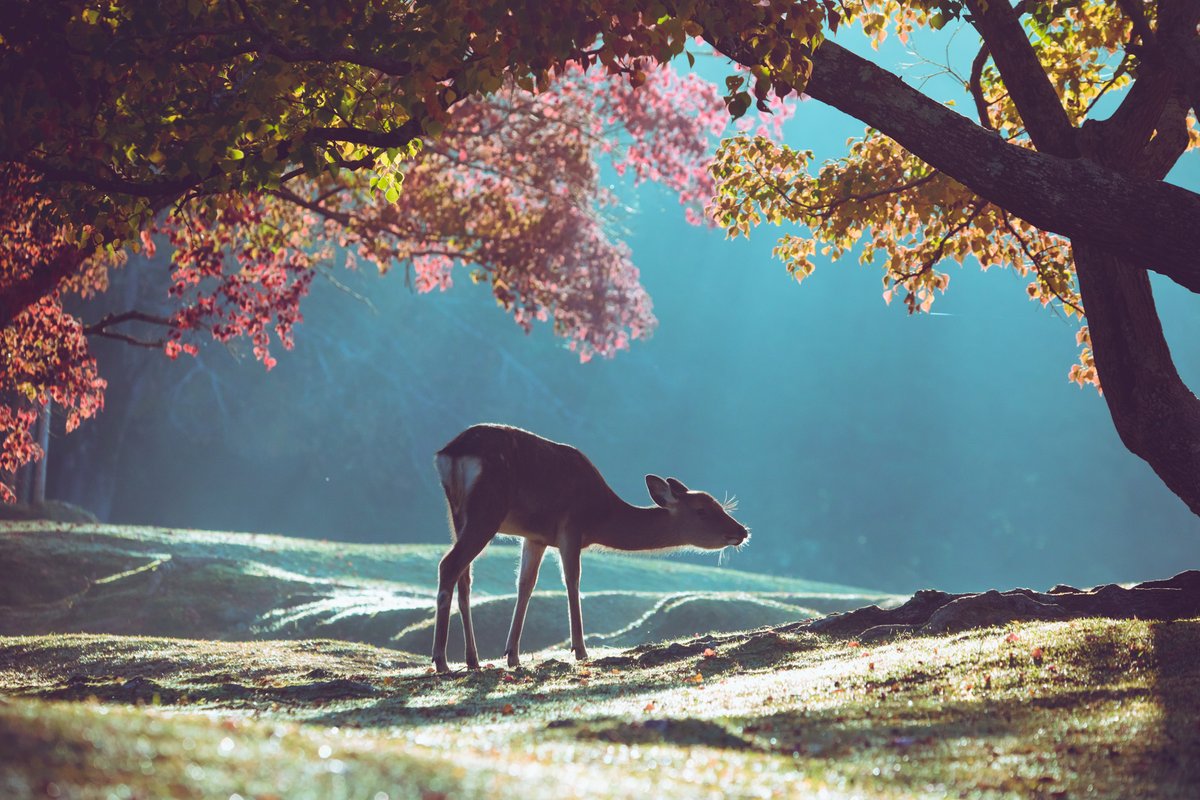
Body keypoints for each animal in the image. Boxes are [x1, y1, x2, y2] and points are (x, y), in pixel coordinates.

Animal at [432, 422, 748, 671]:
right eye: (702, 510)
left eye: (720, 505)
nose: (741, 531)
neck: (601, 515)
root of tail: (450, 453)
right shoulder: (571, 526)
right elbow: (572, 580)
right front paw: (580, 650)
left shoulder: (535, 536)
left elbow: (525, 584)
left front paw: (512, 655)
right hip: (487, 509)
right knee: (448, 564)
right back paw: (441, 660)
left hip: (456, 515)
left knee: (465, 576)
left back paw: (472, 659)